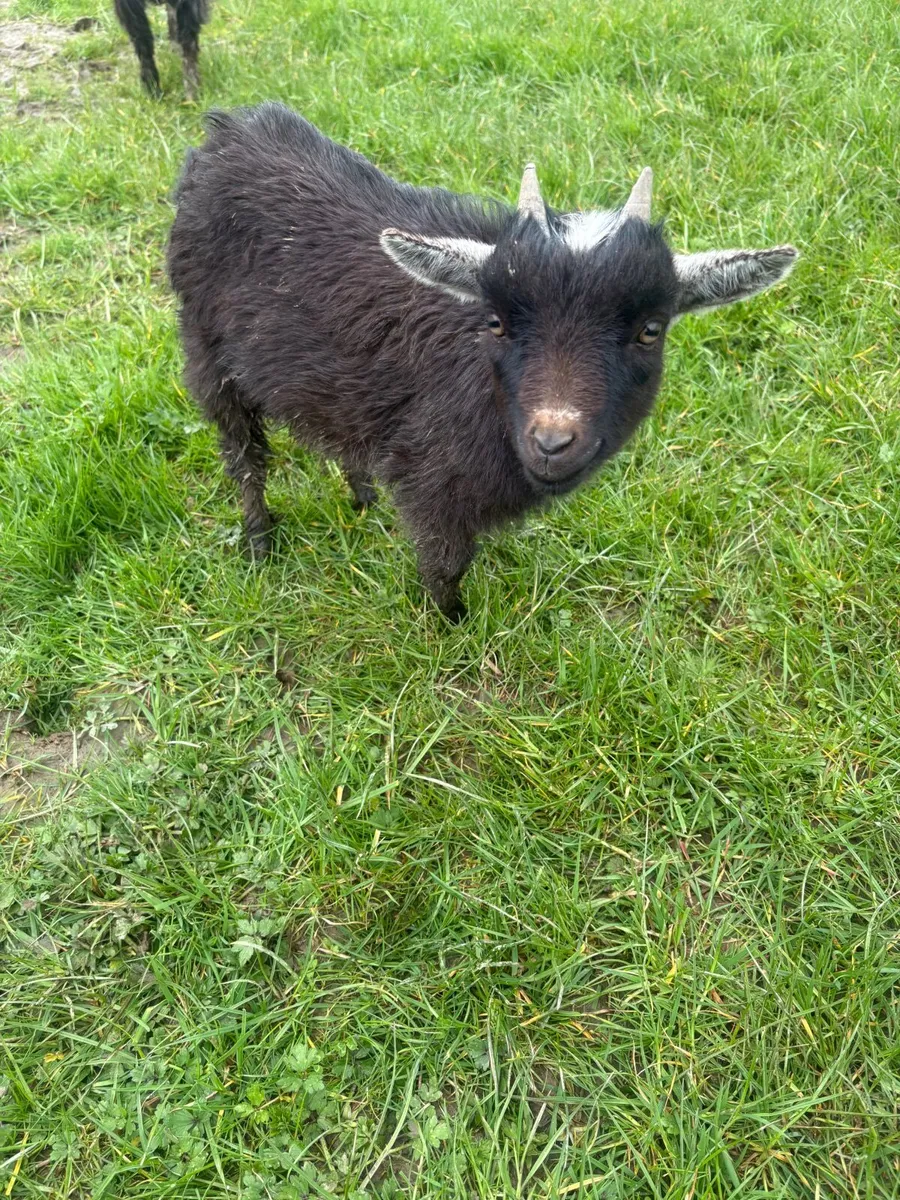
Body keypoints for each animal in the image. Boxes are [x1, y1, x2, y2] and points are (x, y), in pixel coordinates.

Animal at [167, 104, 798, 620]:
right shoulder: (434, 482)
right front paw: (450, 625)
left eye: (650, 329)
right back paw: (259, 543)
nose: (551, 442)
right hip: (205, 349)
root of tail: (225, 134)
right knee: (244, 453)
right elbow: (446, 565)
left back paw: (363, 500)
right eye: (495, 321)